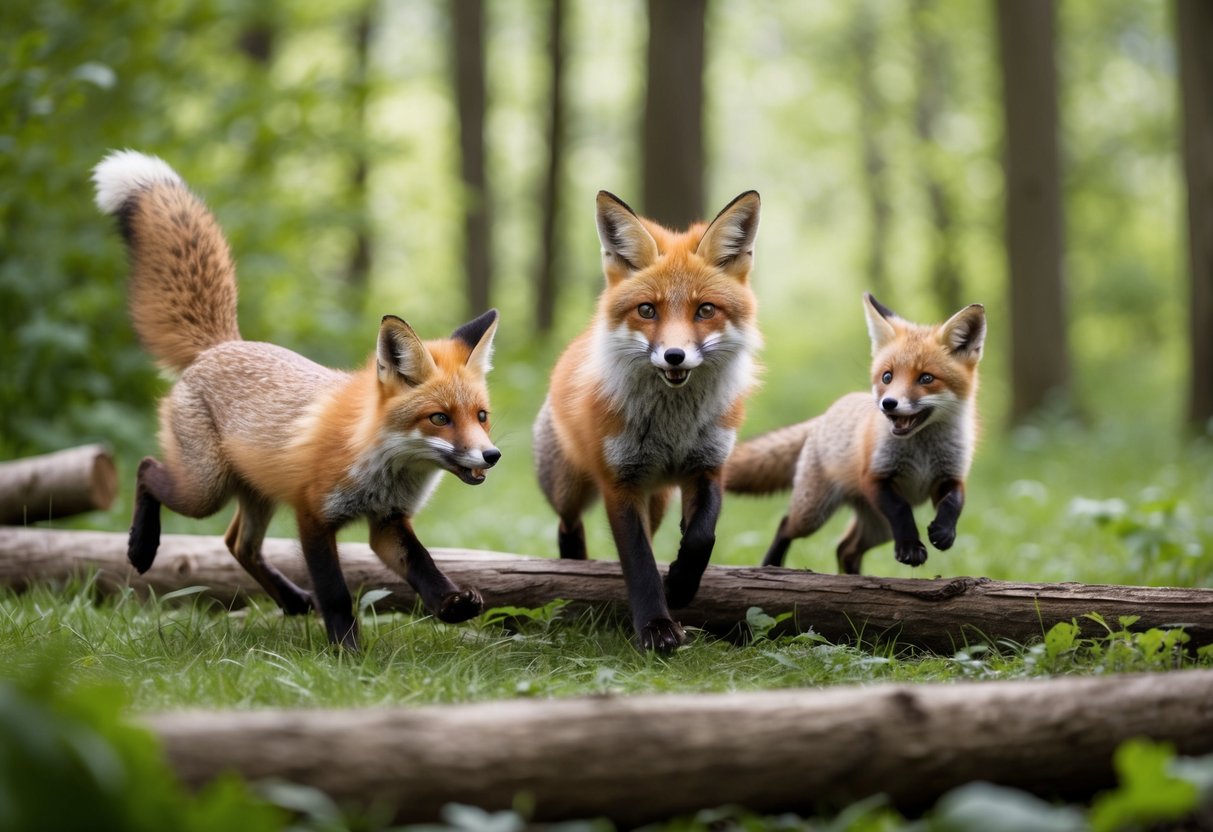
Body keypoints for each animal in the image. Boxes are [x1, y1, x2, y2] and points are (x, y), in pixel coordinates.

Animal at [93, 150, 499, 650]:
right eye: (439, 418)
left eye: (481, 416)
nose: (492, 455)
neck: (382, 461)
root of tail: (221, 345)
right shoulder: (313, 516)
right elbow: (336, 592)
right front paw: (347, 650)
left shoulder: (387, 522)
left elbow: (423, 565)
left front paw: (450, 606)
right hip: (205, 489)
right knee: (147, 468)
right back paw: (141, 545)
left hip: (255, 492)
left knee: (237, 544)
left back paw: (290, 600)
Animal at [533, 190, 762, 652]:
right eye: (647, 310)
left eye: (705, 310)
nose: (674, 356)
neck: (673, 428)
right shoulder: (620, 483)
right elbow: (637, 562)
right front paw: (656, 627)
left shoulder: (708, 466)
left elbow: (701, 536)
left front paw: (680, 584)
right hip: (568, 486)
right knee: (568, 525)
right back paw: (573, 570)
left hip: (657, 499)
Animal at [725, 293, 985, 575]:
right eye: (887, 377)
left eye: (926, 378)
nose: (888, 404)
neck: (922, 452)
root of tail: (825, 415)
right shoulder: (874, 477)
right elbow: (901, 510)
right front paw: (910, 548)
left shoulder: (950, 476)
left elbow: (954, 503)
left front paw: (944, 532)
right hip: (815, 513)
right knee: (786, 525)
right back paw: (772, 564)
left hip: (878, 528)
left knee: (846, 548)